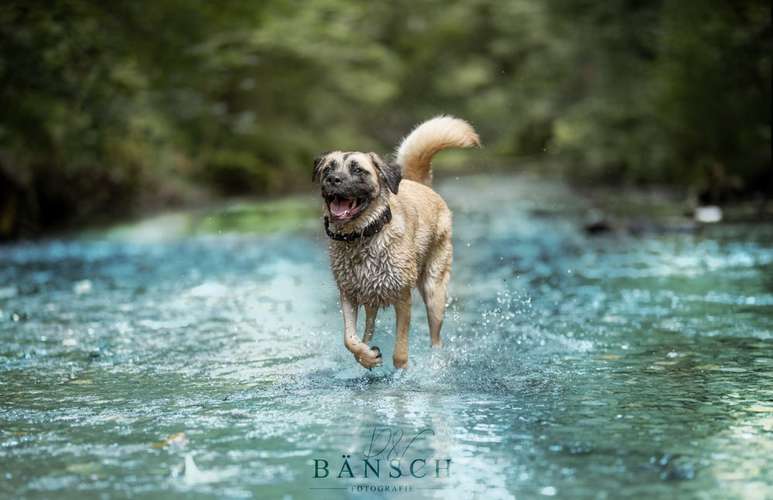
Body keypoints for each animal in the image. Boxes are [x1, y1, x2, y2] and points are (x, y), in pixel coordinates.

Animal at [312, 115, 480, 370]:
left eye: (358, 170)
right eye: (328, 168)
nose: (332, 179)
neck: (362, 236)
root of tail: (421, 185)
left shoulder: (403, 298)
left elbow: (400, 350)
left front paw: (401, 372)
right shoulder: (348, 294)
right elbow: (349, 338)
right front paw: (367, 356)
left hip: (434, 292)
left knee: (436, 338)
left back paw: (436, 360)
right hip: (370, 295)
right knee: (368, 326)